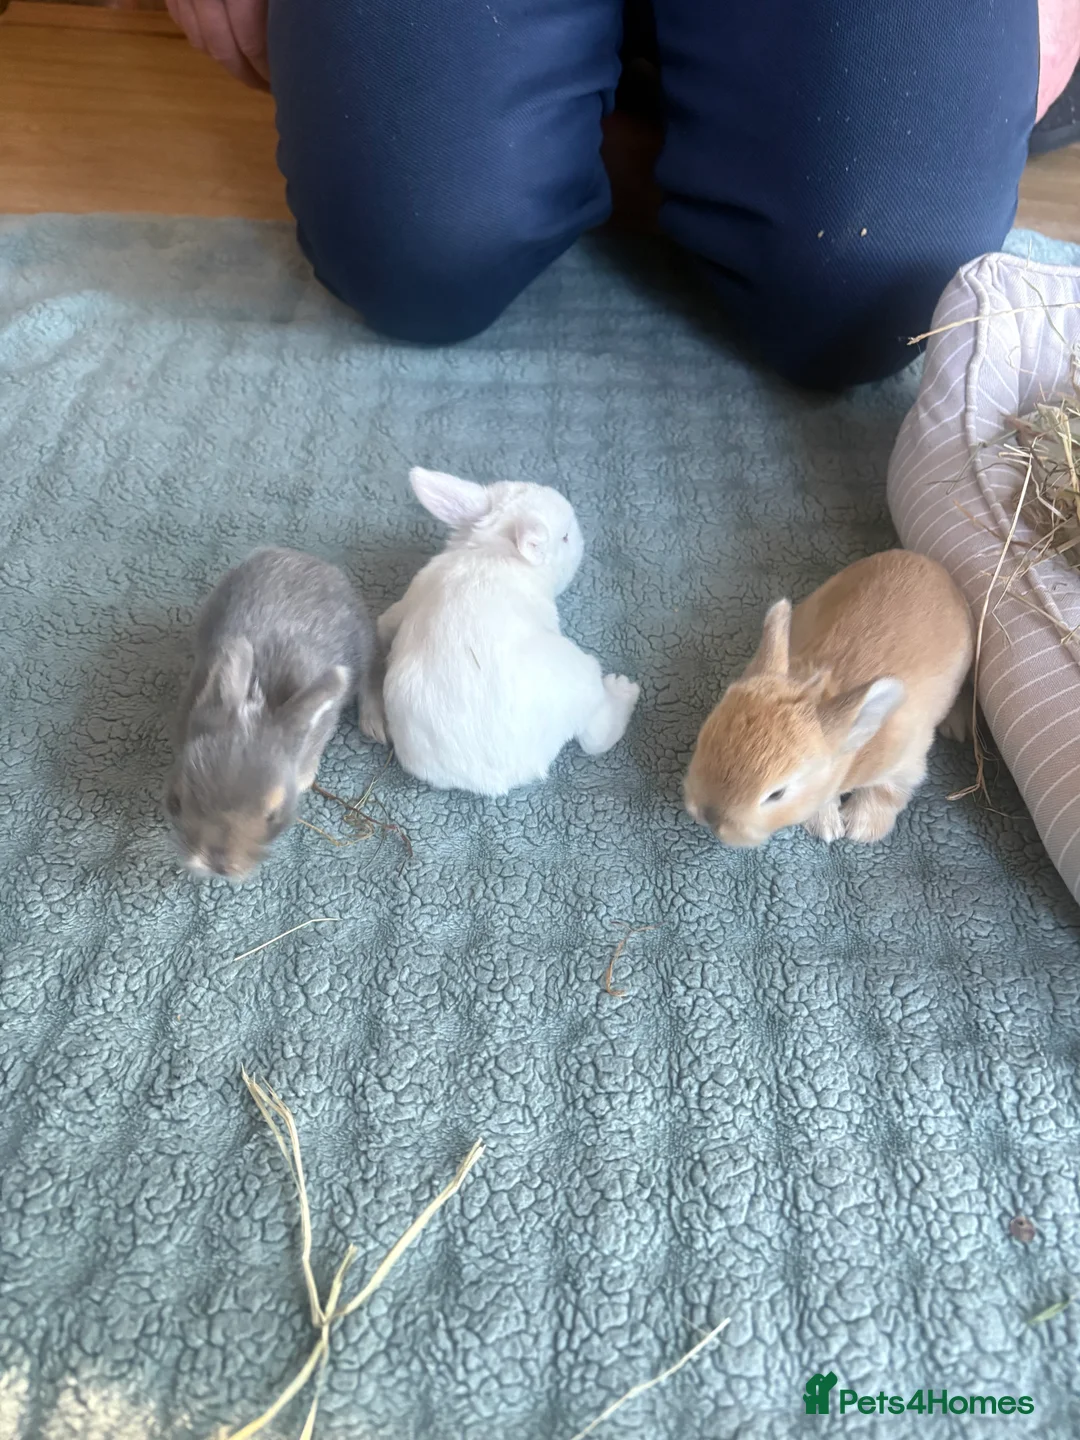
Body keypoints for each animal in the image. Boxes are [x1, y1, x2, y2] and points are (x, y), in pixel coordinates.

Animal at [165, 546, 379, 879]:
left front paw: (305, 780)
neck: (259, 698)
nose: (218, 864)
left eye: (273, 815)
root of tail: (303, 558)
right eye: (176, 799)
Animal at [377, 466, 640, 795]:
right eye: (565, 537)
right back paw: (624, 689)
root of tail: (499, 777)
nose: (580, 536)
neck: (493, 548)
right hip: (583, 674)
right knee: (596, 737)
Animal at [683, 549, 973, 847]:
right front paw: (825, 825)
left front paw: (861, 829)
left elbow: (885, 791)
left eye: (777, 794)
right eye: (702, 740)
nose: (708, 816)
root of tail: (925, 560)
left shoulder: (906, 761)